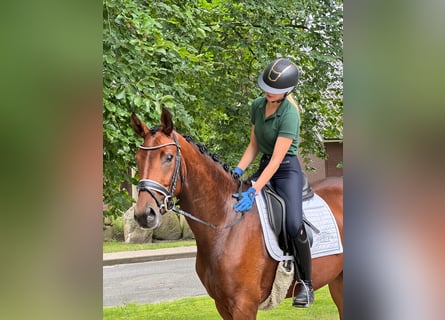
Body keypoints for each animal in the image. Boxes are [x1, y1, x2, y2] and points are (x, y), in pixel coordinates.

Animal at [129, 108, 344, 320]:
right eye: (137, 159)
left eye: (168, 157)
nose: (144, 214)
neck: (225, 225)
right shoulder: (222, 305)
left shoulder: (244, 305)